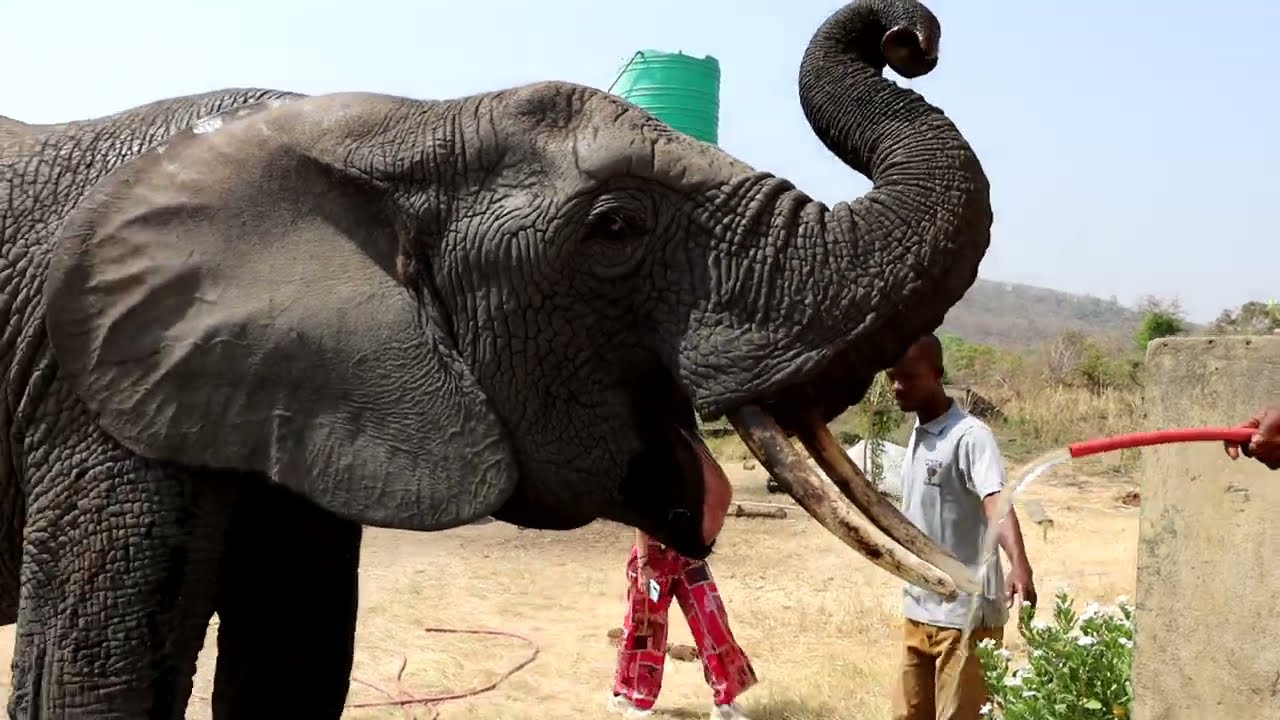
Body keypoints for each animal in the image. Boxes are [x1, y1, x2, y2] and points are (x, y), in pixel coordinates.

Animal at [0, 0, 992, 716]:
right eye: (615, 228)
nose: (908, 36)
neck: (389, 127)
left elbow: (294, 663)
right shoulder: (91, 400)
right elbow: (87, 683)